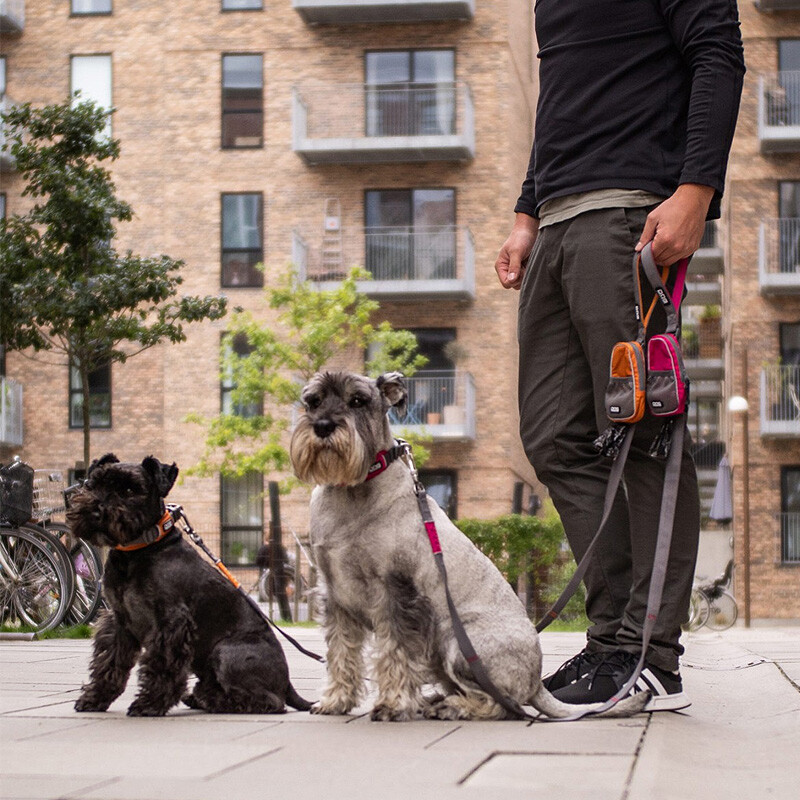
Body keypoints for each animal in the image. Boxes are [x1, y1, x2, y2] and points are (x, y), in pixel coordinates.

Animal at [67, 454, 310, 716]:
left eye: (130, 490)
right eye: (93, 484)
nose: (94, 512)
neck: (138, 550)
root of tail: (287, 683)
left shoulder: (170, 622)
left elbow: (162, 666)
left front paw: (149, 703)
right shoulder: (119, 620)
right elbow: (109, 663)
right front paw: (94, 698)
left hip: (225, 651)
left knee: (270, 702)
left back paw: (214, 701)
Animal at [290, 372, 648, 720]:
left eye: (358, 401)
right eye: (313, 400)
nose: (323, 426)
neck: (353, 489)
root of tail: (536, 680)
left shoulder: (395, 593)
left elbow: (396, 654)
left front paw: (393, 705)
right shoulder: (336, 597)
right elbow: (341, 653)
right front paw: (336, 700)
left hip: (456, 641)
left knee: (502, 705)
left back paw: (451, 707)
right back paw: (436, 700)